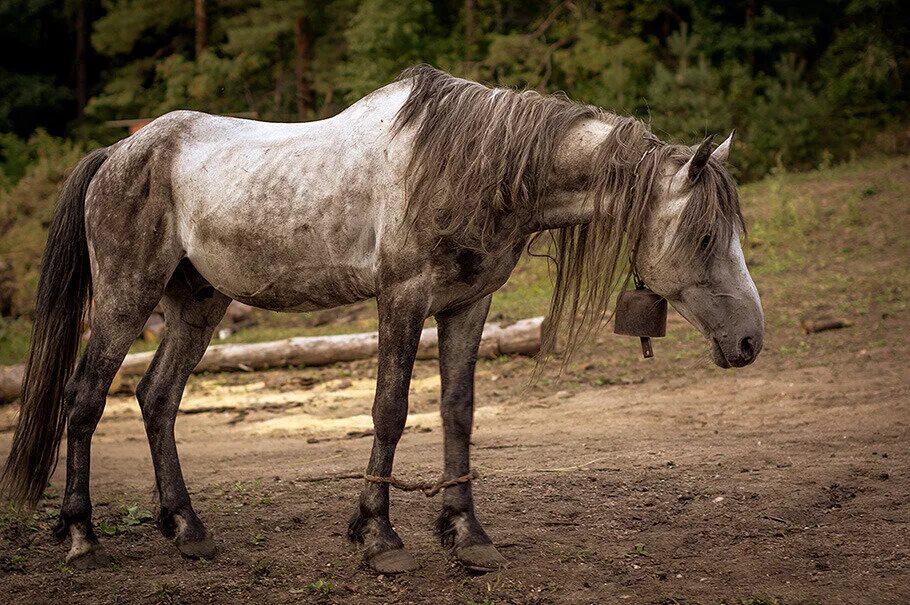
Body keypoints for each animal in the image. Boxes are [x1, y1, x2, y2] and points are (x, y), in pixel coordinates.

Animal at [0, 65, 764, 572]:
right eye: (703, 235)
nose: (750, 341)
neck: (464, 164)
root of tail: (119, 152)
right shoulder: (401, 299)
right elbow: (391, 409)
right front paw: (378, 536)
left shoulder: (468, 305)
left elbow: (458, 410)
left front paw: (467, 534)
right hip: (127, 296)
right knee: (85, 398)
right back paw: (81, 535)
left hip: (197, 303)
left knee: (156, 398)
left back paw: (188, 528)